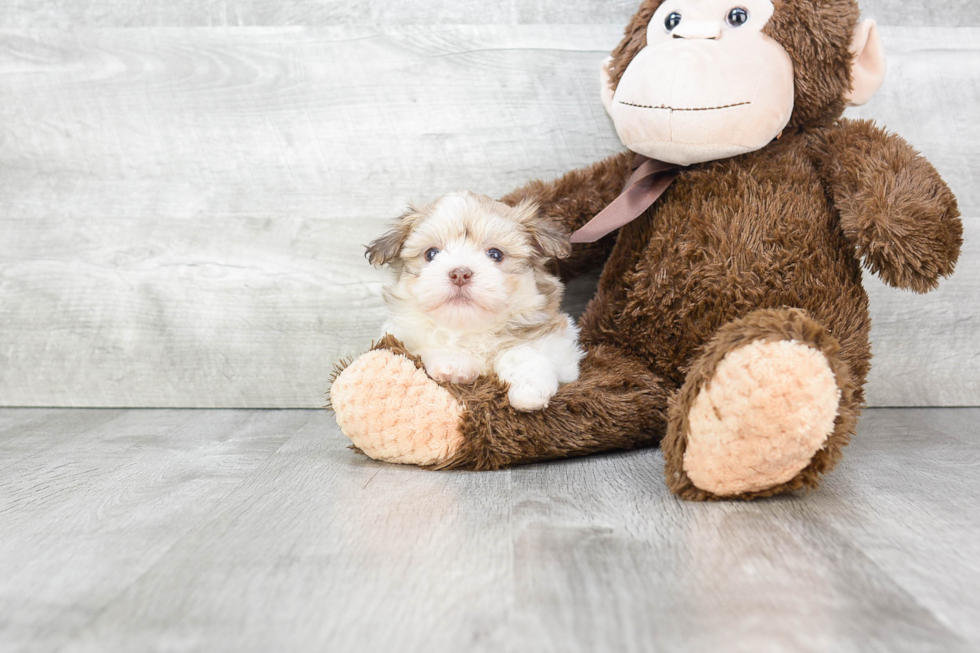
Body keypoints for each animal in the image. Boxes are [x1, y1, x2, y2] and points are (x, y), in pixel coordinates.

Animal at [366, 191, 580, 410]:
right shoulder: (401, 337)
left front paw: (530, 387)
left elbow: (519, 352)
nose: (460, 273)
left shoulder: (562, 348)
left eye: (495, 254)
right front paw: (453, 363)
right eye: (431, 253)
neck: (470, 329)